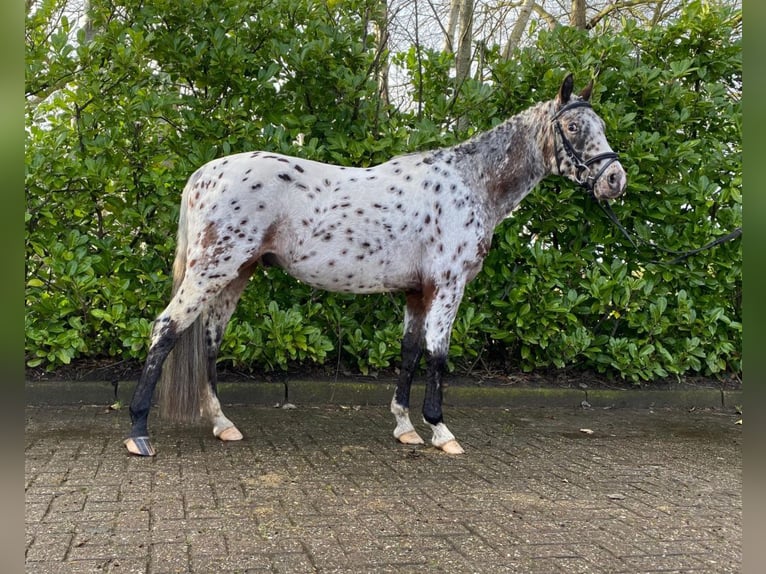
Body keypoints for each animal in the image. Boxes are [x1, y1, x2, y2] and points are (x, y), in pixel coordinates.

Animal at [126, 73, 628, 460]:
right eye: (572, 126)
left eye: (600, 124)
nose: (615, 180)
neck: (470, 184)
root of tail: (203, 174)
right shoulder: (448, 286)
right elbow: (438, 354)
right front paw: (441, 431)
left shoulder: (418, 291)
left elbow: (409, 352)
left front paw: (405, 427)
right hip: (213, 269)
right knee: (166, 329)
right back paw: (138, 434)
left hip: (236, 273)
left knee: (209, 342)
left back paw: (222, 423)